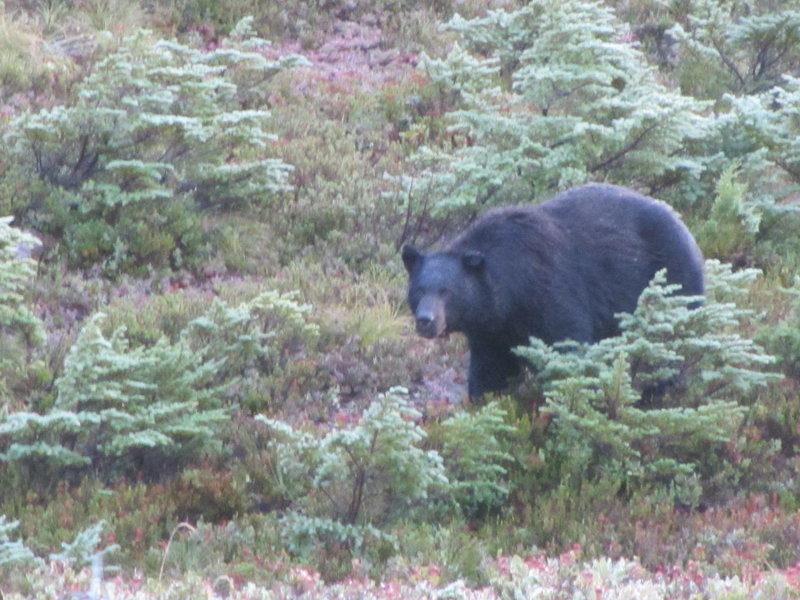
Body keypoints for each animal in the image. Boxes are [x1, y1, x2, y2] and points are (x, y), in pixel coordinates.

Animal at [404, 183, 704, 398]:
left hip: (671, 280)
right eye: (419, 290)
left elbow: (566, 348)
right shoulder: (491, 329)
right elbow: (490, 368)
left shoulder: (549, 292)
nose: (426, 320)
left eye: (446, 291)